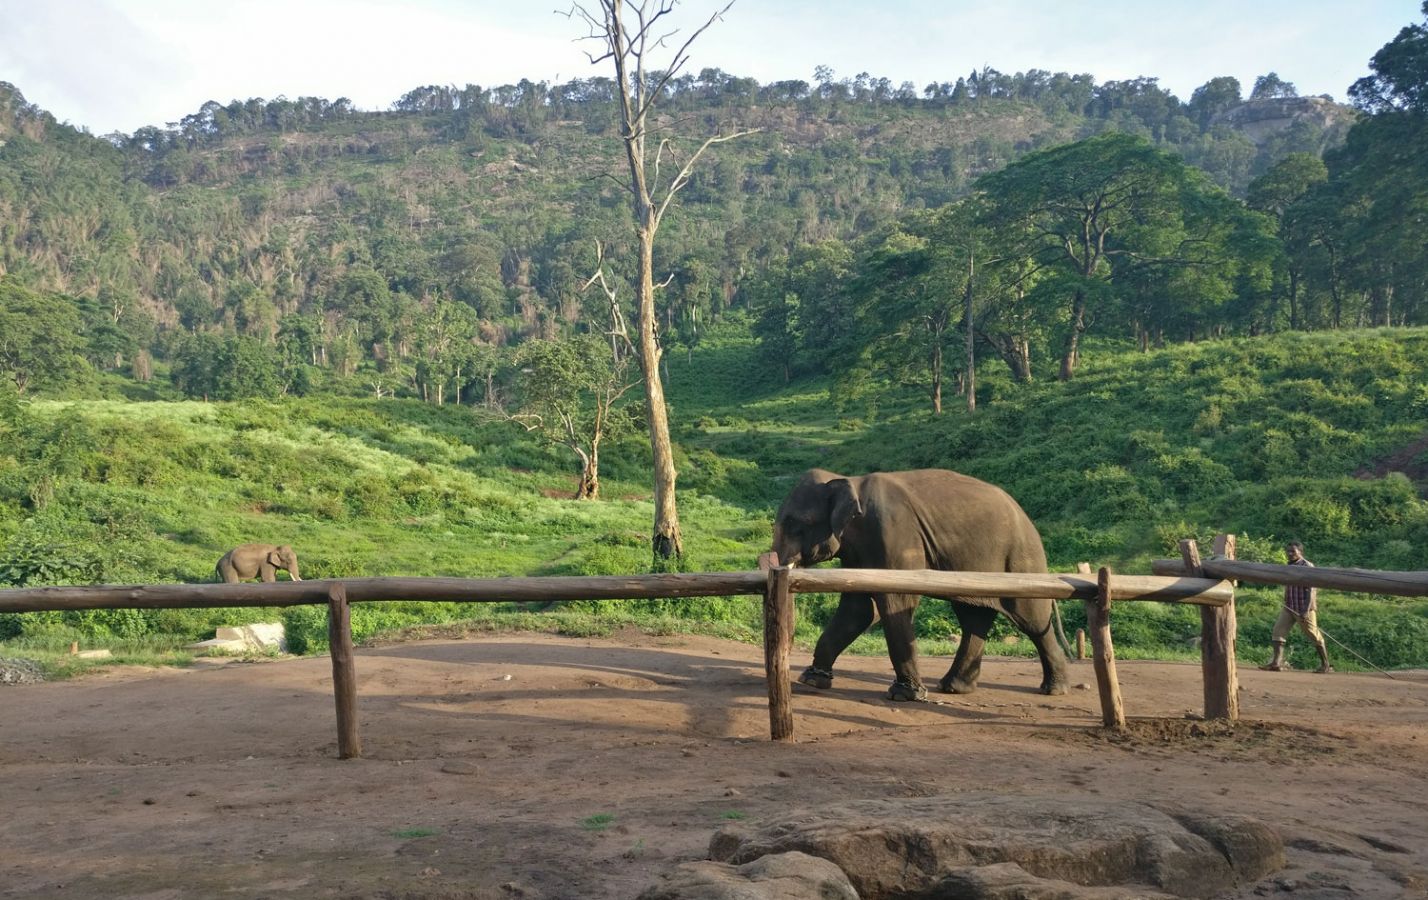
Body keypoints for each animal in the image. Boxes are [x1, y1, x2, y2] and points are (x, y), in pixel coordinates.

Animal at [771, 471, 1062, 705]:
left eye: (796, 524)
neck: (849, 481)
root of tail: (1025, 515)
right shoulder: (857, 551)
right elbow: (859, 609)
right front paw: (812, 680)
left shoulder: (894, 534)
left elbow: (895, 601)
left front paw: (904, 695)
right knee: (973, 616)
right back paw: (954, 687)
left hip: (1020, 558)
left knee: (1031, 618)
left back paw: (1054, 689)